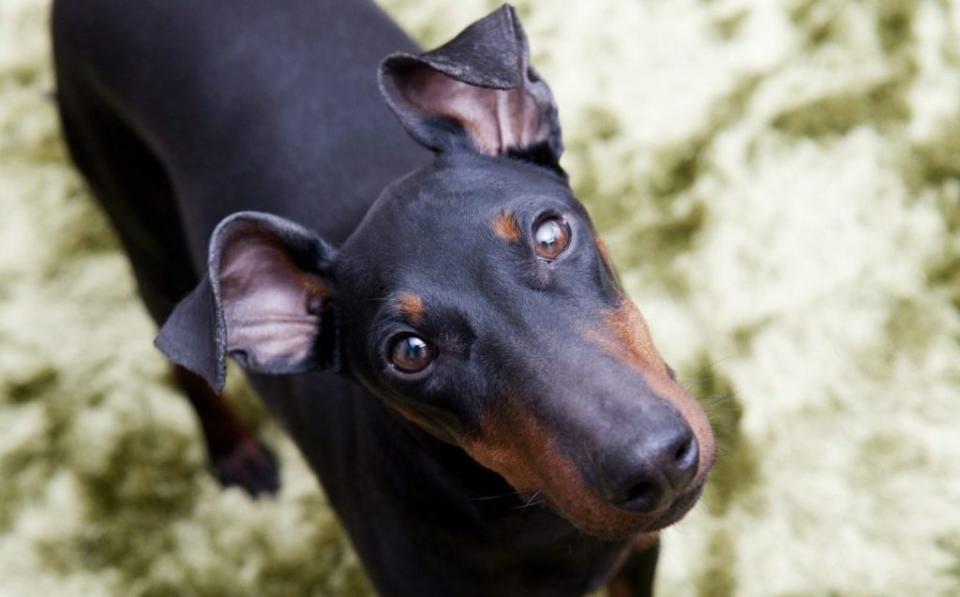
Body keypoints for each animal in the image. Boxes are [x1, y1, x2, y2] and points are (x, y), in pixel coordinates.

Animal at [52, 2, 712, 592]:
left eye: (551, 234)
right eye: (410, 352)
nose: (654, 464)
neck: (530, 524)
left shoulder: (636, 560)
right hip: (145, 237)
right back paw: (234, 453)